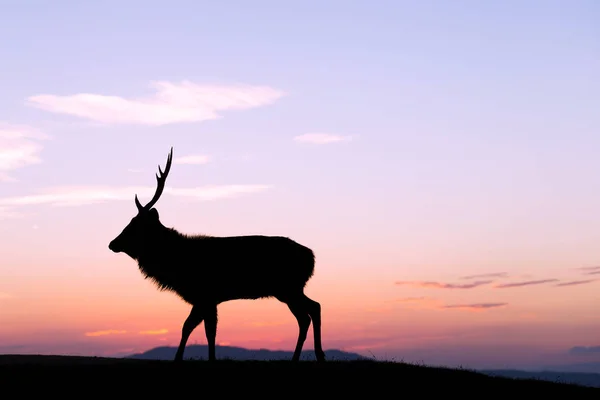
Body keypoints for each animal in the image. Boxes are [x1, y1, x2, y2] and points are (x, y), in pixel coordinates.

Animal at [106, 148, 324, 362]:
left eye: (135, 225)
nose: (112, 243)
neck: (175, 264)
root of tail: (311, 257)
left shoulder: (205, 295)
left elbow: (192, 327)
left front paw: (181, 358)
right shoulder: (208, 299)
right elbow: (206, 330)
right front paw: (208, 358)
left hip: (289, 287)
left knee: (310, 311)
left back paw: (311, 356)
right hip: (289, 289)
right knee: (310, 311)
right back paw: (305, 357)